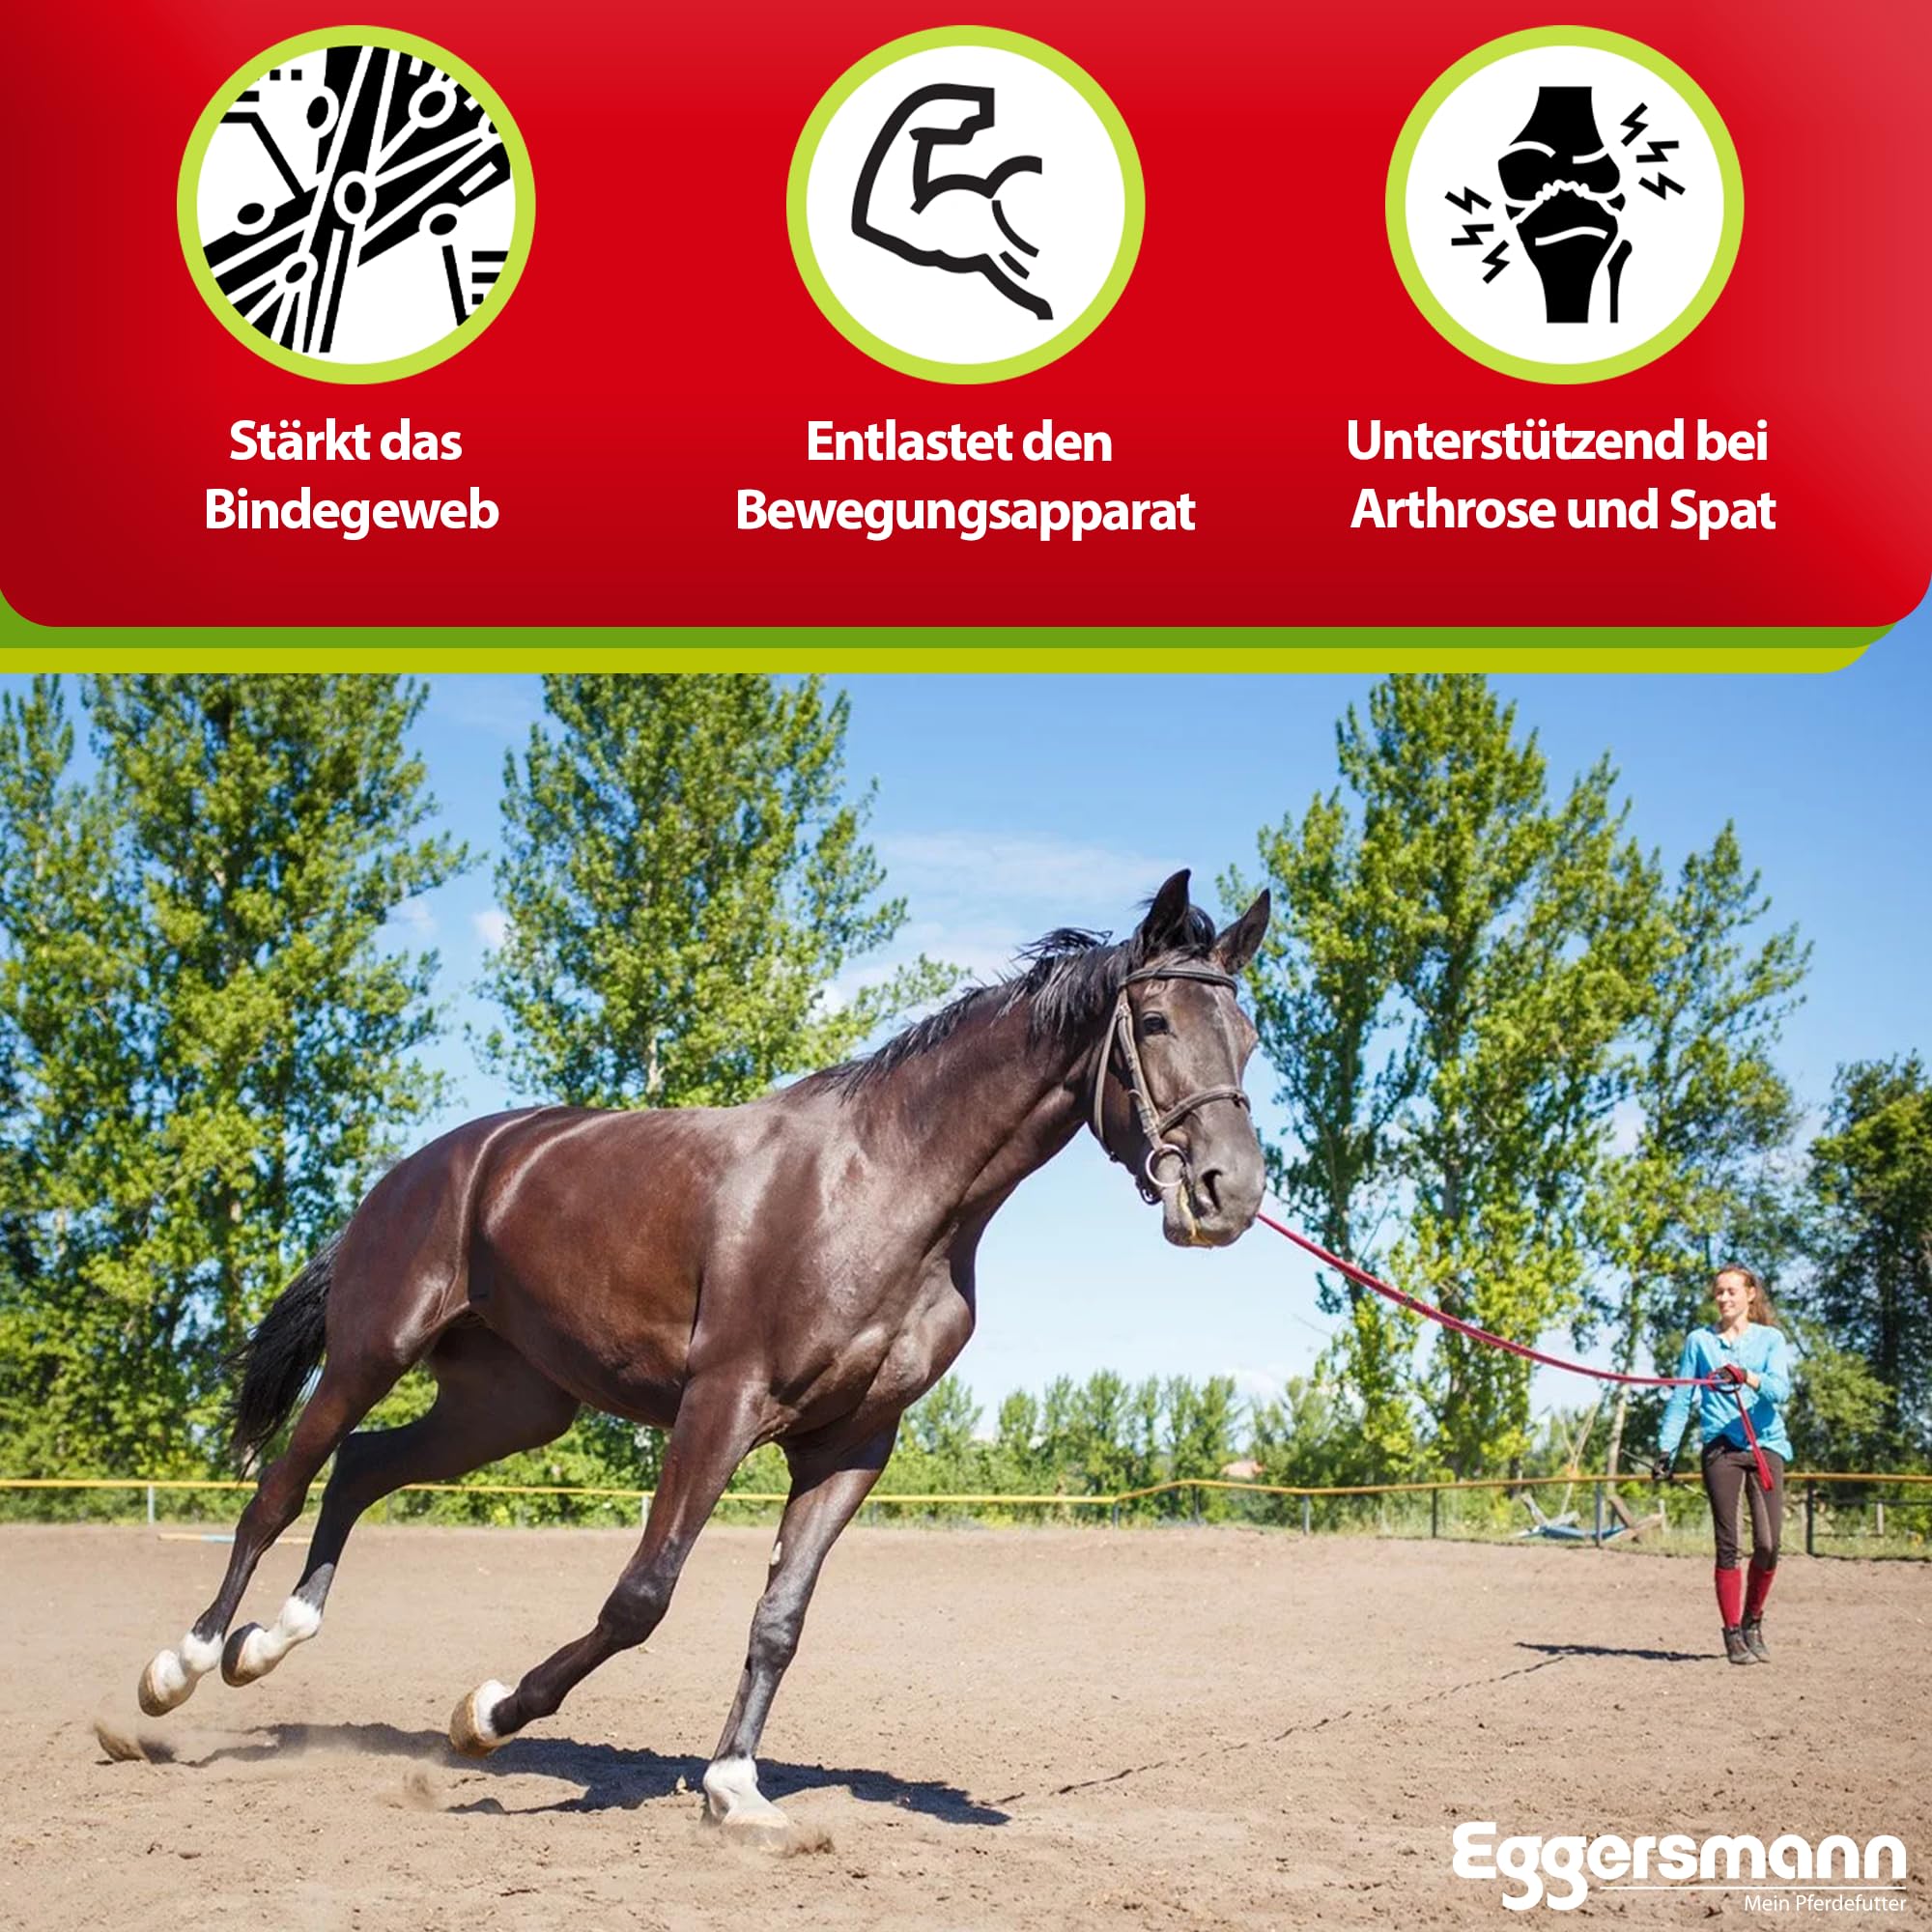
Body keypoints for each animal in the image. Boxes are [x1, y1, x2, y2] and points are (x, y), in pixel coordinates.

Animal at [133, 869, 1271, 1834]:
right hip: (372, 1350)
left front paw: (734, 1787)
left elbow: (780, 1617)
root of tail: (422, 1167)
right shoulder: (720, 1403)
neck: (885, 1185)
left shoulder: (852, 1443)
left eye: (1250, 1037)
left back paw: (266, 1645)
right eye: (1156, 1021)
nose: (1229, 1191)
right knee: (280, 1486)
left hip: (508, 1406)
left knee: (362, 1469)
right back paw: (182, 1666)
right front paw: (488, 1713)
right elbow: (641, 1597)